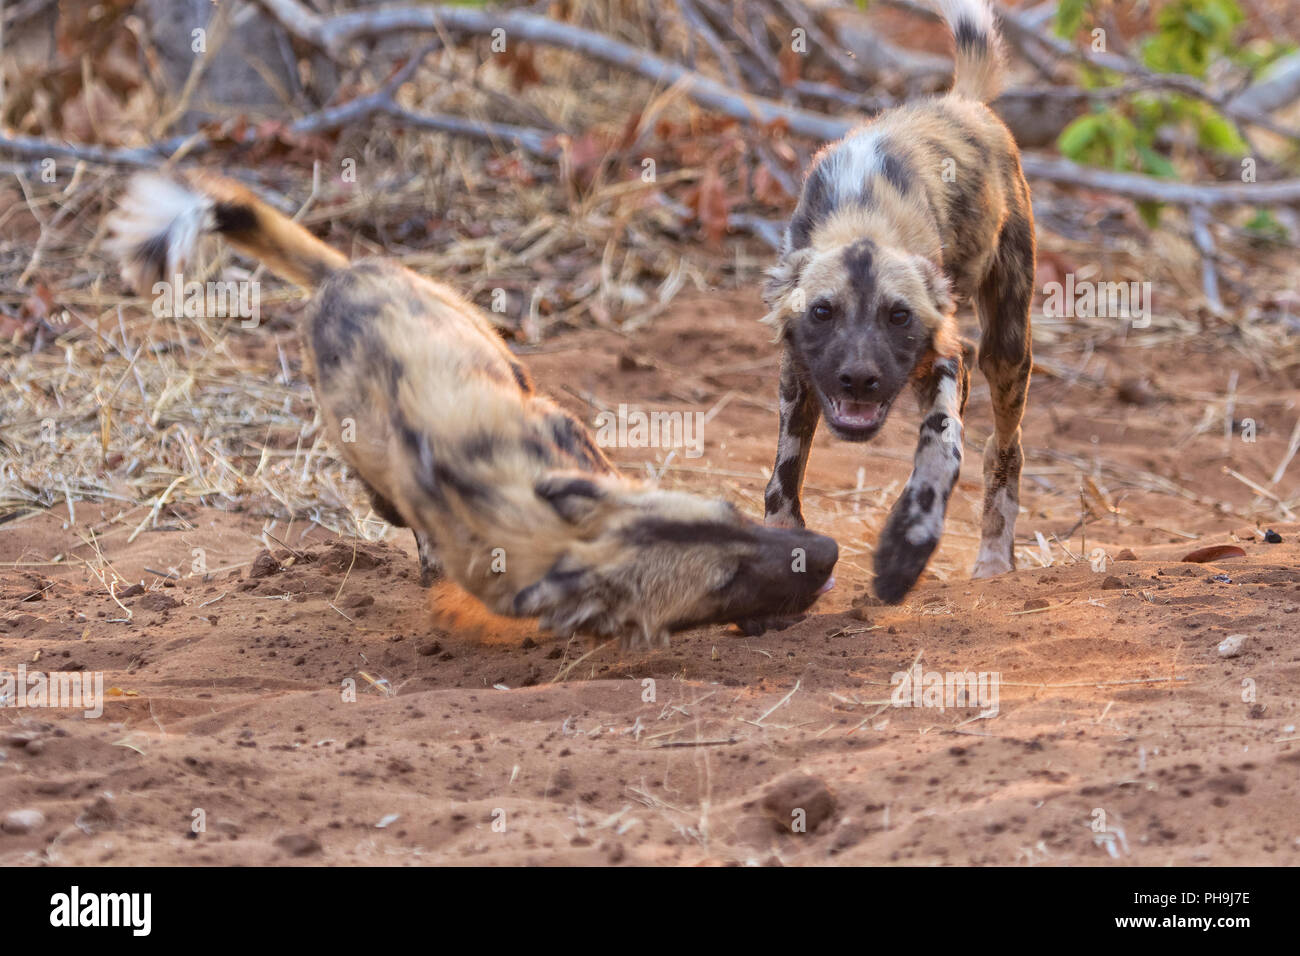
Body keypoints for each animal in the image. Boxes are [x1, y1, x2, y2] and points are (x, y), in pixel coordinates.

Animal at [759, 0, 1034, 598]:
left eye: (898, 316)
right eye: (823, 312)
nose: (860, 380)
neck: (863, 214)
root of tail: (960, 101)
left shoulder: (944, 359)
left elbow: (942, 450)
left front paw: (908, 546)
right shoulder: (799, 372)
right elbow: (784, 473)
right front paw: (786, 553)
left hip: (1007, 348)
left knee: (1004, 447)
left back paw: (995, 561)